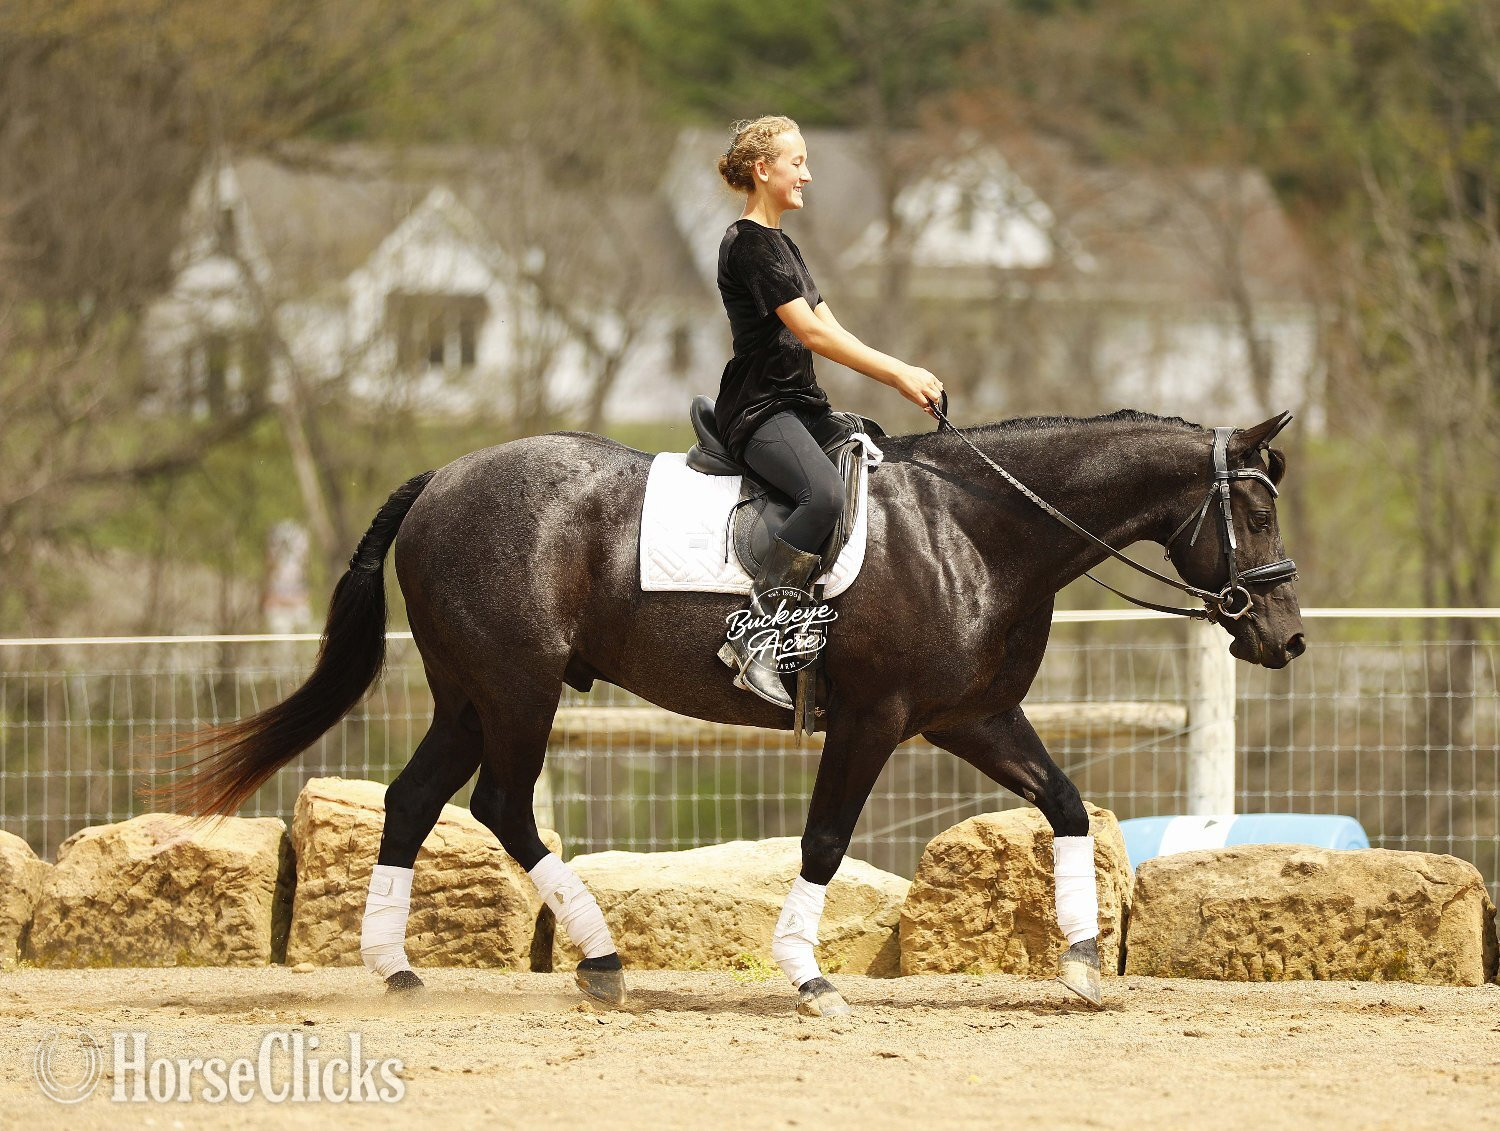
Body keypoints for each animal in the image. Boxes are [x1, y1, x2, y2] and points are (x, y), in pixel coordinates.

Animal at [160, 407, 1305, 1016]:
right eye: (1253, 510)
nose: (1286, 637)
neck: (976, 531)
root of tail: (444, 474)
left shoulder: (971, 718)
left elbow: (1065, 805)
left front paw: (1080, 965)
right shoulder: (875, 719)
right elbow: (826, 839)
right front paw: (809, 977)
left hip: (471, 694)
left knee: (412, 800)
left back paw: (396, 966)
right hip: (519, 688)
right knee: (500, 806)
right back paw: (601, 961)